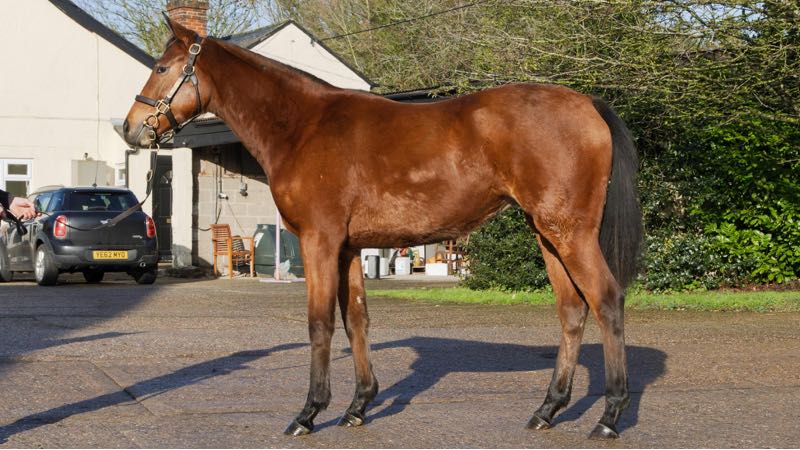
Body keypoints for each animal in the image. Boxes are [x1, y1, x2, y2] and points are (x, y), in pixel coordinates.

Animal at [124, 16, 642, 440]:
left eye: (163, 67)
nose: (131, 129)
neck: (302, 126)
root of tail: (588, 104)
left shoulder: (319, 241)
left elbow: (320, 322)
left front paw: (309, 413)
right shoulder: (349, 248)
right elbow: (356, 319)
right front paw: (358, 406)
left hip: (570, 233)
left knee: (607, 300)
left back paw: (609, 416)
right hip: (547, 234)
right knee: (572, 310)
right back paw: (547, 410)